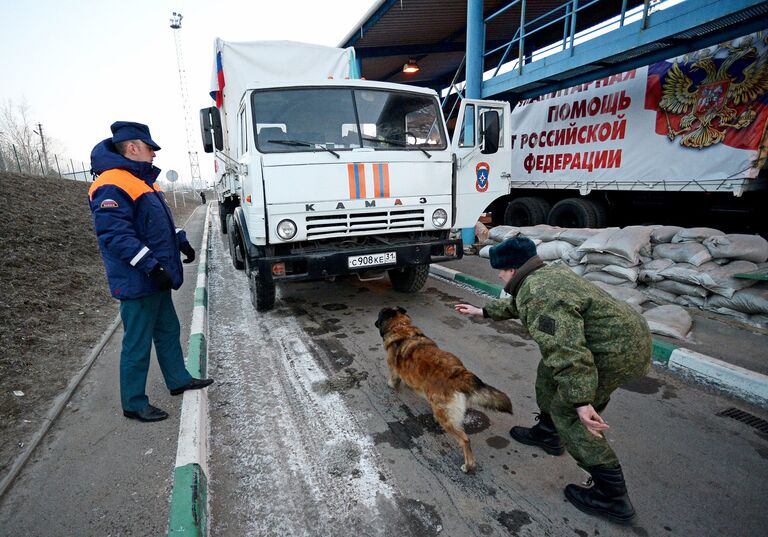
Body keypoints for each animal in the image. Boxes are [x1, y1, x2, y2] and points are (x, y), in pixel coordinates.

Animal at [376, 306, 512, 474]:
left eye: (379, 315)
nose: (375, 323)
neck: (401, 326)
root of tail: (459, 373)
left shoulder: (393, 368)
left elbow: (394, 378)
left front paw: (391, 385)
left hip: (445, 416)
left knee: (465, 439)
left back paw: (468, 465)